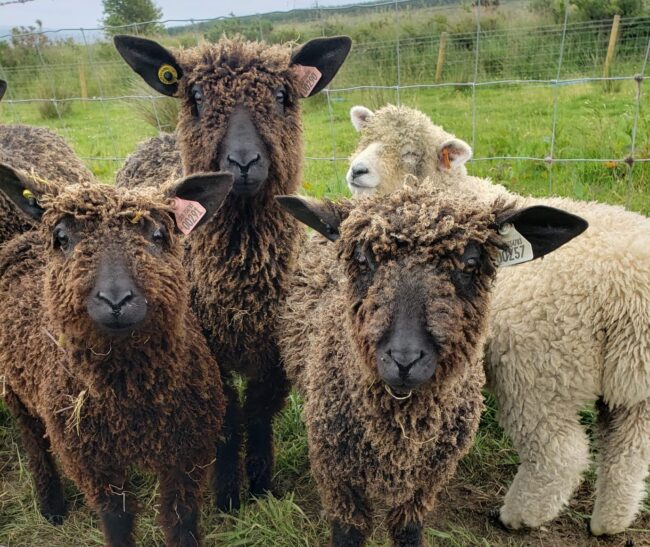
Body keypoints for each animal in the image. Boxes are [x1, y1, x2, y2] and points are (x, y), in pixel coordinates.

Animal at [0, 162, 234, 546]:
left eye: (158, 235)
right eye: (62, 237)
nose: (116, 301)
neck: (130, 398)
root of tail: (24, 238)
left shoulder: (188, 452)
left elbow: (180, 518)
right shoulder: (93, 463)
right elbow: (117, 520)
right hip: (17, 393)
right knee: (35, 445)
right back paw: (51, 508)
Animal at [113, 34, 352, 511]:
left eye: (282, 96)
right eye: (196, 97)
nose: (241, 163)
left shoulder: (273, 352)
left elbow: (257, 414)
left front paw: (259, 487)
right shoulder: (210, 351)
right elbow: (226, 418)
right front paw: (227, 496)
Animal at [276, 180, 587, 546]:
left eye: (471, 261)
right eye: (362, 258)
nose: (404, 360)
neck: (400, 425)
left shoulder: (428, 477)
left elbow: (408, 530)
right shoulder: (336, 471)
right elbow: (348, 533)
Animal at [346, 103, 650, 537]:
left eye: (411, 153)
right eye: (365, 138)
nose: (357, 171)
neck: (453, 196)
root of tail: (632, 297)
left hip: (540, 372)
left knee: (561, 454)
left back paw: (518, 516)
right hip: (635, 391)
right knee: (629, 453)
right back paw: (610, 522)